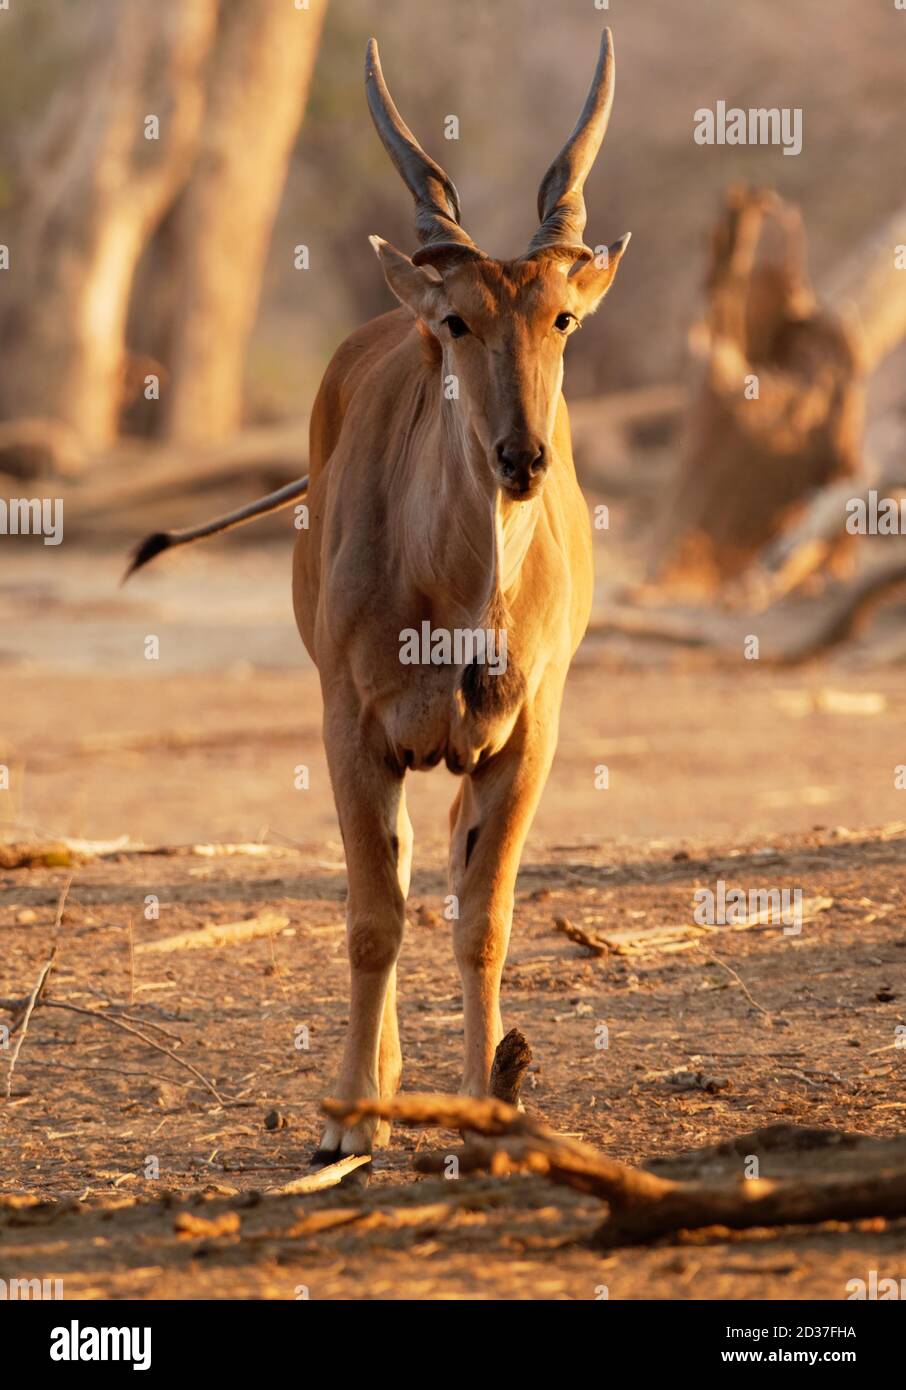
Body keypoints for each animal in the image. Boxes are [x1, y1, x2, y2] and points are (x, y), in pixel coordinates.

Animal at [129, 29, 630, 1162]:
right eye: (456, 321)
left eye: (563, 319)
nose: (523, 457)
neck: (458, 598)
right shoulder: (350, 725)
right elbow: (372, 916)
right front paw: (353, 1115)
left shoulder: (530, 732)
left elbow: (483, 916)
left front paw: (492, 1105)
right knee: (394, 882)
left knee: (437, 872)